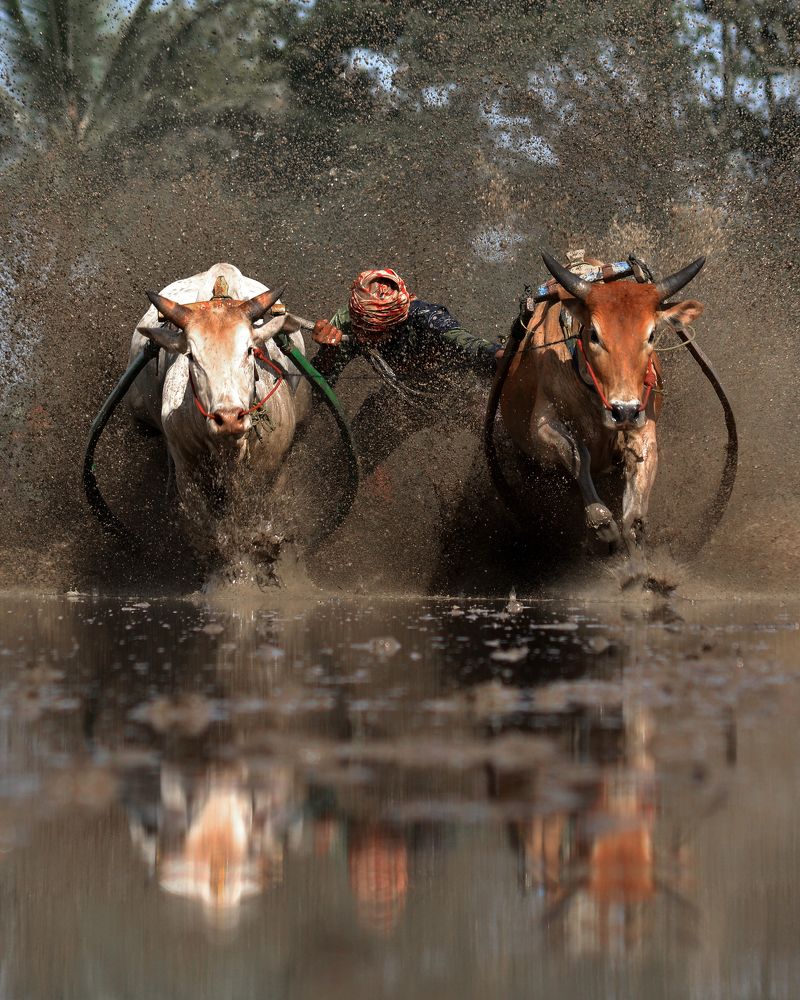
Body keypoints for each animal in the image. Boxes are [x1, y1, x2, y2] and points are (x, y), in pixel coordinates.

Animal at [499, 252, 705, 555]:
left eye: (651, 334)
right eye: (594, 334)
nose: (623, 410)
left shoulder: (643, 419)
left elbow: (635, 520)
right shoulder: (541, 425)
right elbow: (577, 453)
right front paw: (601, 522)